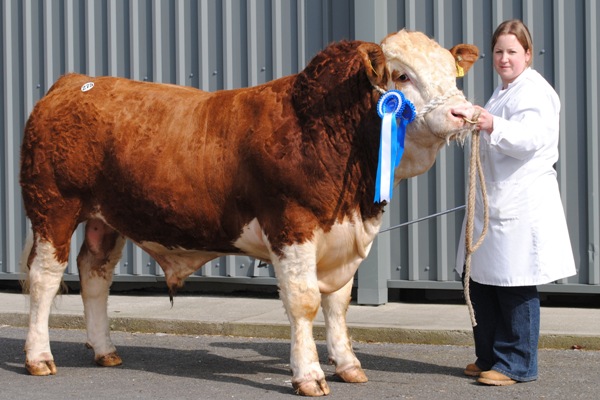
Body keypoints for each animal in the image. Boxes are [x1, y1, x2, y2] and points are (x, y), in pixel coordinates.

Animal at [18, 29, 478, 396]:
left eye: (450, 71)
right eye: (402, 76)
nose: (465, 113)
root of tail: (73, 83)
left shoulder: (342, 237)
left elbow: (338, 303)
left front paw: (348, 365)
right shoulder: (292, 226)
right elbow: (305, 302)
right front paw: (309, 375)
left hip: (105, 219)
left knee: (95, 274)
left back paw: (105, 350)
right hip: (53, 209)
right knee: (45, 278)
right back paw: (39, 357)